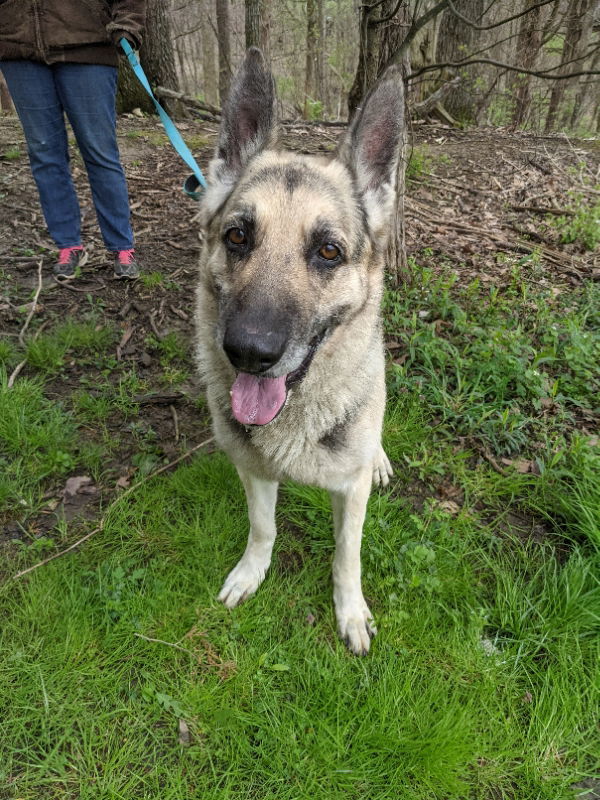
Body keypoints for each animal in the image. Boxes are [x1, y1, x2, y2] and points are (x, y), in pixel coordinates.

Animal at [196, 47, 404, 652]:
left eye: (328, 251)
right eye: (238, 236)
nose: (248, 352)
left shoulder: (349, 494)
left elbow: (346, 555)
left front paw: (350, 611)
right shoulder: (253, 471)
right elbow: (263, 527)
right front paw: (251, 572)